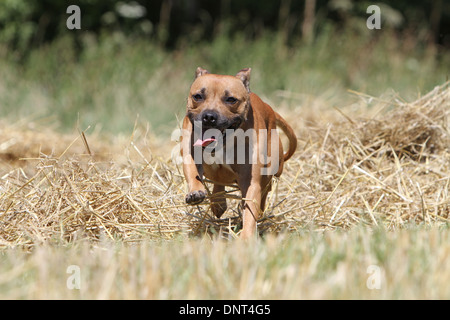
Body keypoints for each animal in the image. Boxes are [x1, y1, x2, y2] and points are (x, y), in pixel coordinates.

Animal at [181, 67, 298, 238]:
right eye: (197, 96)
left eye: (231, 99)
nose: (209, 116)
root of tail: (270, 109)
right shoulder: (191, 153)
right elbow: (192, 172)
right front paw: (196, 192)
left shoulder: (251, 181)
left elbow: (250, 210)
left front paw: (246, 236)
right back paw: (218, 203)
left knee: (265, 190)